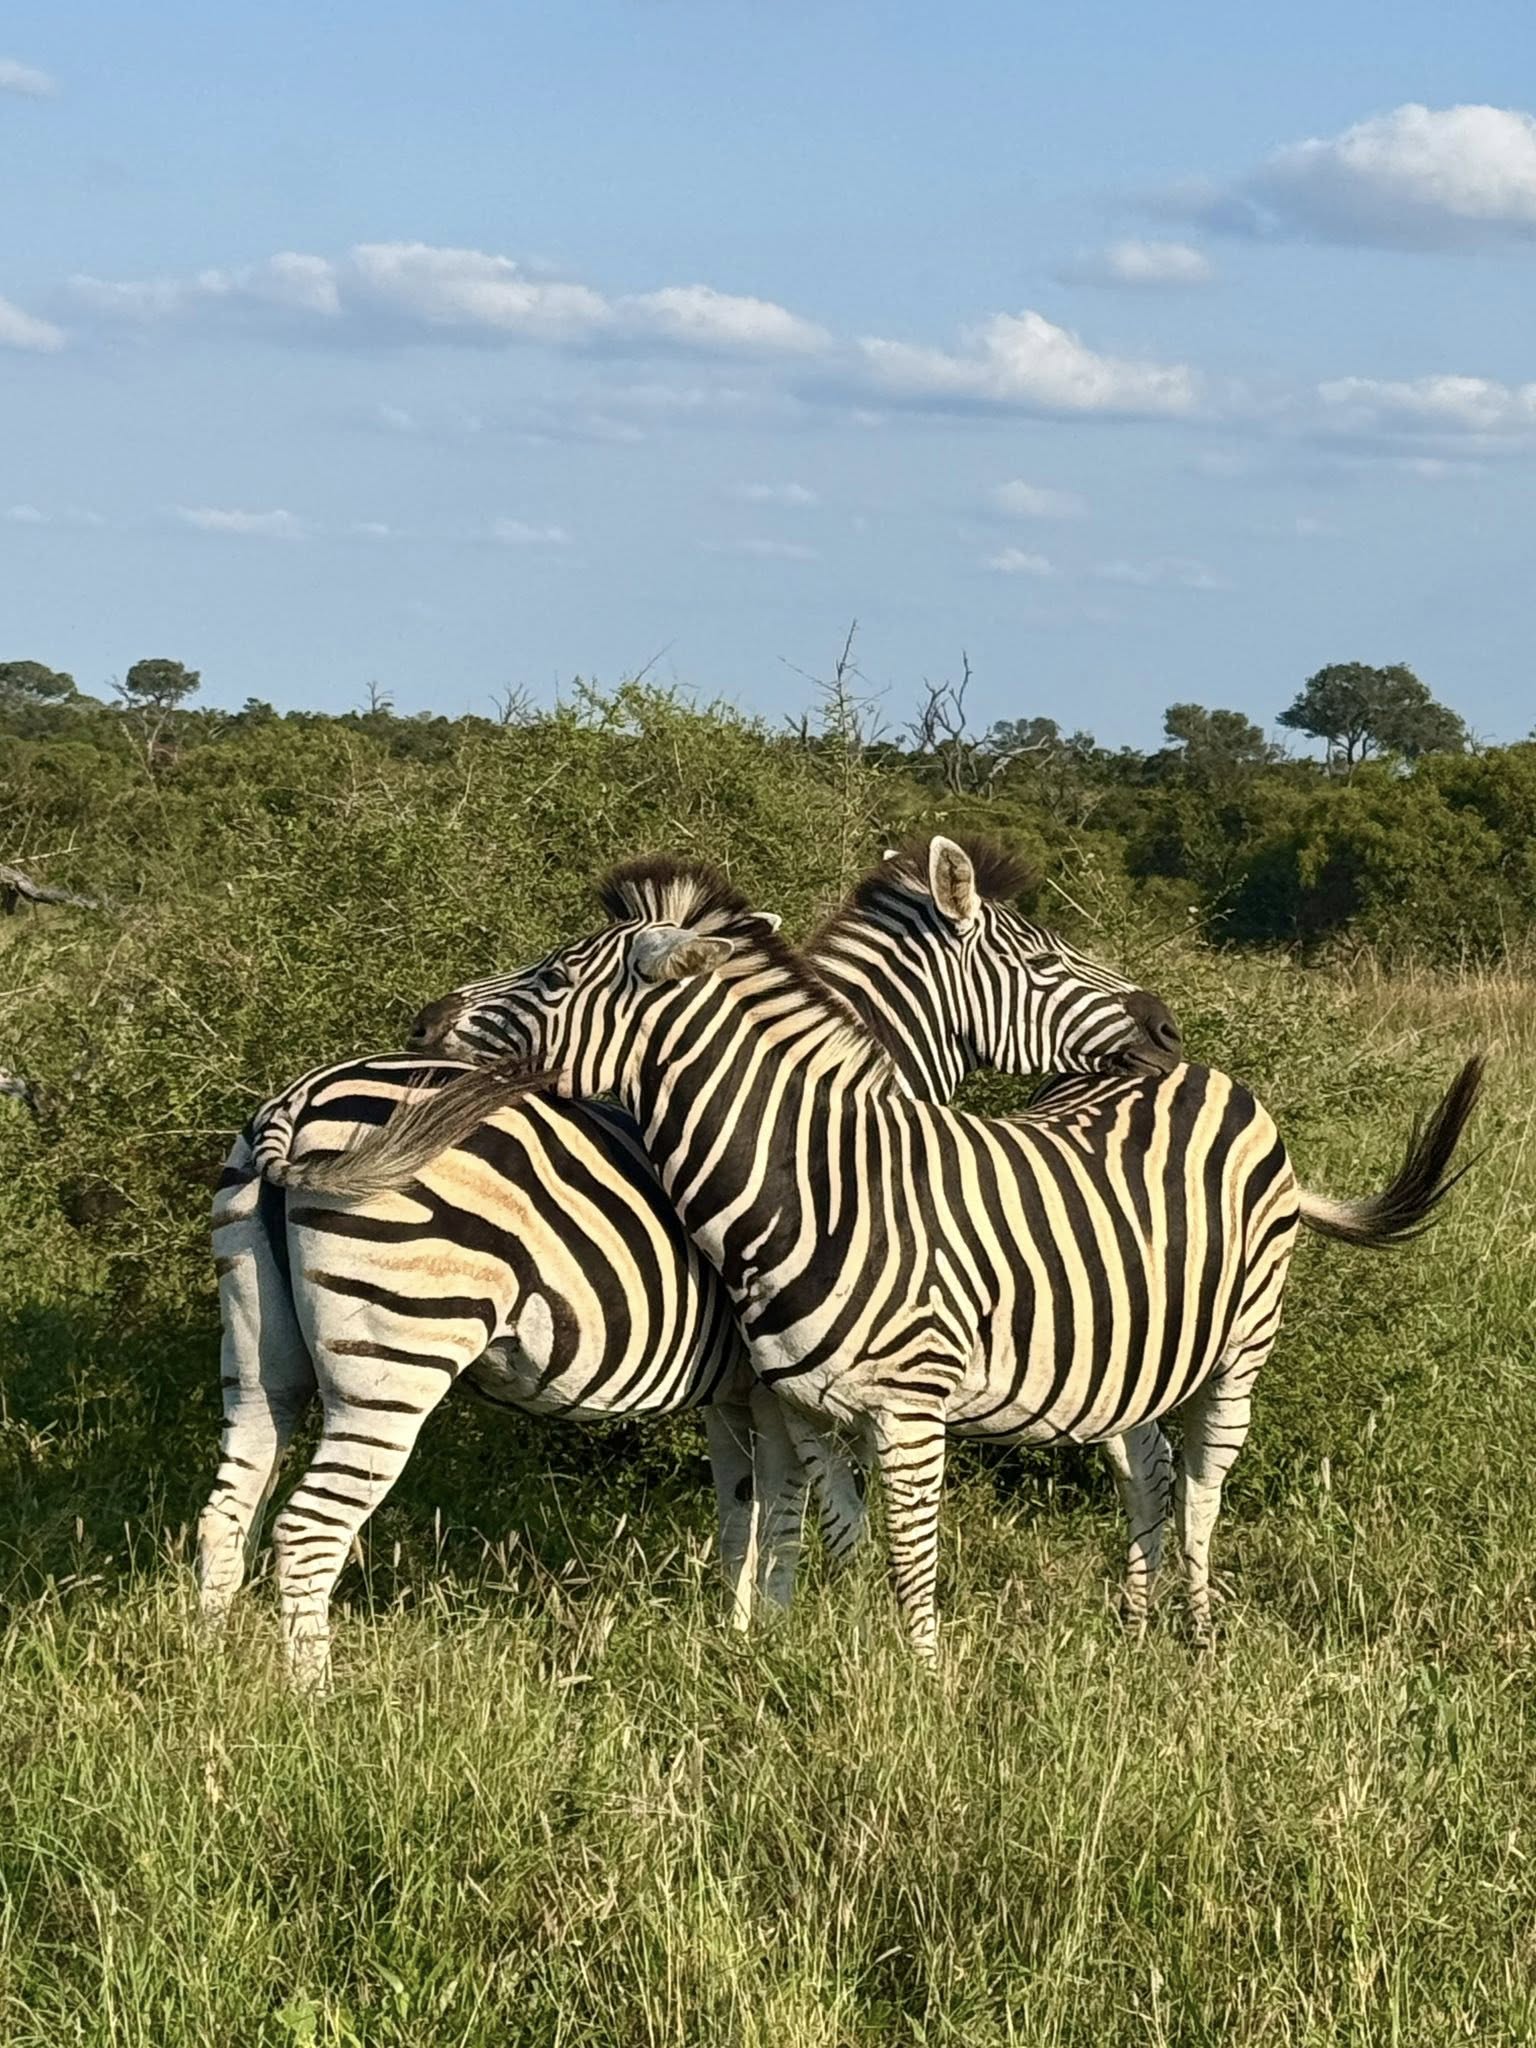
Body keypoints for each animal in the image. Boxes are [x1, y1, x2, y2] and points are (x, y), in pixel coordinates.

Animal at [198, 837, 1180, 1685]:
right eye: (1048, 961)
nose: (1168, 1028)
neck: (826, 1147)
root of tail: (295, 1102)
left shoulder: (732, 1393)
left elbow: (740, 1518)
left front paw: (740, 1640)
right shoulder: (776, 1387)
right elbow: (791, 1517)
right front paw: (780, 1635)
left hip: (260, 1355)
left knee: (229, 1510)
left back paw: (219, 1679)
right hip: (396, 1353)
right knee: (309, 1531)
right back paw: (314, 1701)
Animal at [402, 854, 1483, 1660]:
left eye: (550, 976)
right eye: (1044, 958)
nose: (425, 1020)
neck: (821, 1175)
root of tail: (1217, 1077)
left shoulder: (889, 1406)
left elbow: (875, 1551)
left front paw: (906, 1688)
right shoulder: (799, 1402)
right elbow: (831, 1536)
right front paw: (820, 1658)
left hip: (1239, 1345)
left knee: (1205, 1487)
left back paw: (1199, 1641)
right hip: (1127, 1358)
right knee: (1151, 1470)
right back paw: (1138, 1631)